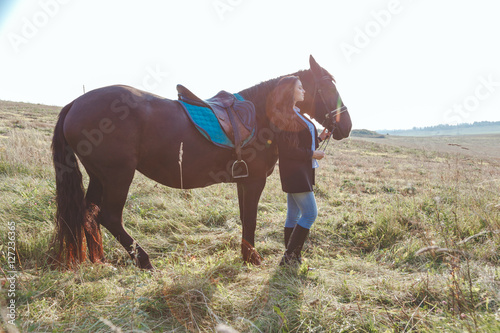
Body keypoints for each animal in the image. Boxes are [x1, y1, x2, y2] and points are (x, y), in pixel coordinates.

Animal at [51, 54, 352, 268]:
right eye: (327, 87)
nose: (347, 126)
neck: (263, 114)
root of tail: (75, 103)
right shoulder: (254, 181)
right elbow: (251, 218)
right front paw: (252, 258)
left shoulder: (243, 181)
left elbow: (244, 217)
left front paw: (245, 254)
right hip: (117, 176)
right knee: (110, 216)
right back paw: (144, 261)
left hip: (99, 176)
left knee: (88, 213)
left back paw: (99, 259)